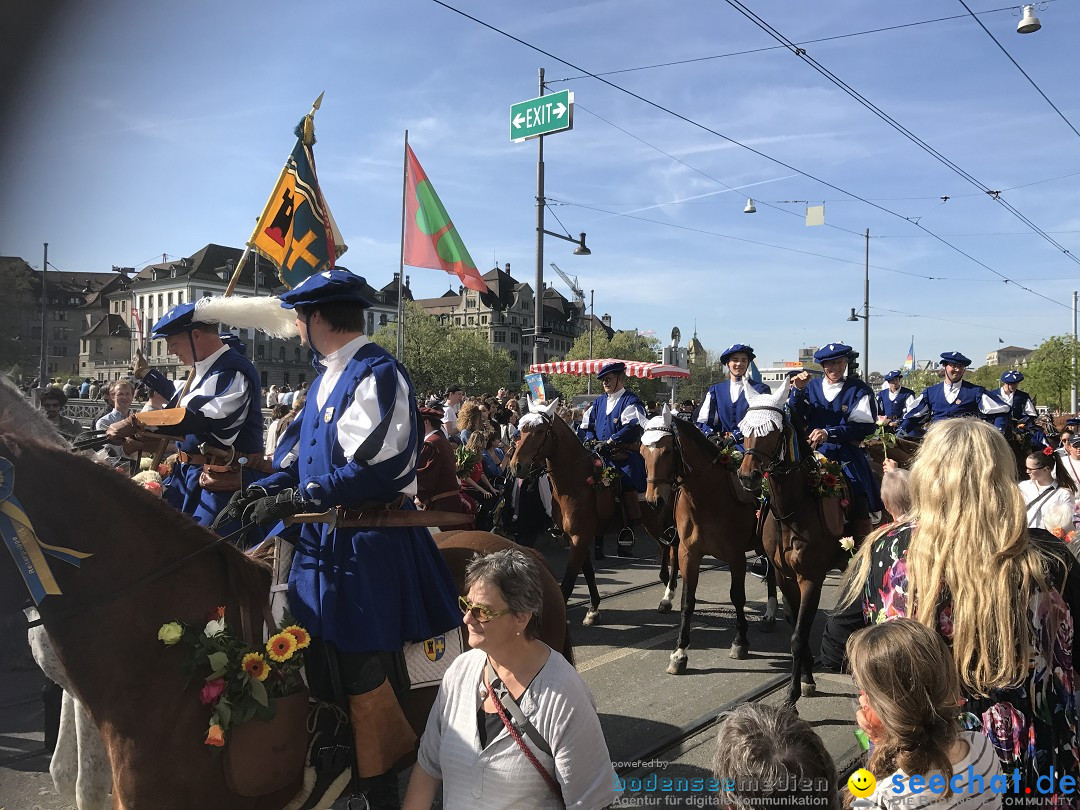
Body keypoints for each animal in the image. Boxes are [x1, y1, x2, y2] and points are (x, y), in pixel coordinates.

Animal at [507, 403, 673, 626]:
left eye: (540, 431)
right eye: (520, 429)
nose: (516, 466)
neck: (575, 482)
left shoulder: (579, 537)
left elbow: (568, 582)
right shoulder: (577, 537)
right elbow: (589, 573)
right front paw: (593, 609)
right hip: (651, 522)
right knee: (666, 547)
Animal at [639, 408, 777, 673]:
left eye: (668, 451)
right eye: (641, 451)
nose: (653, 501)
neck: (707, 498)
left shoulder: (736, 557)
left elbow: (737, 596)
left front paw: (740, 641)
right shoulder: (689, 553)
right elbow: (688, 600)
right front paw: (679, 653)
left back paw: (770, 614)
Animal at [734, 384, 842, 708]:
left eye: (772, 431)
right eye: (744, 429)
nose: (747, 476)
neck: (792, 510)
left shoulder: (811, 579)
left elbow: (797, 636)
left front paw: (792, 695)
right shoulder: (785, 577)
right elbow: (798, 629)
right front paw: (806, 678)